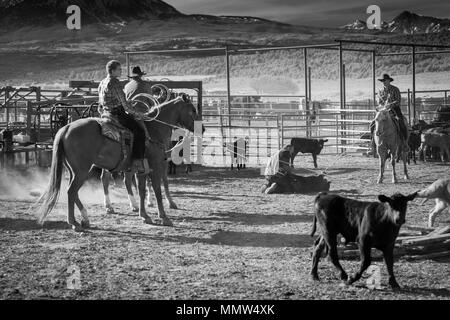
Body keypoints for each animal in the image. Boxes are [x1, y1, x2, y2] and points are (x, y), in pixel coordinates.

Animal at [33, 95, 197, 230]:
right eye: (193, 111)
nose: (201, 128)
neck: (153, 130)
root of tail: (66, 128)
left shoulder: (143, 170)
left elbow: (142, 191)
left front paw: (144, 215)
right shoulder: (156, 166)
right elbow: (157, 190)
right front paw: (164, 217)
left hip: (74, 170)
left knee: (74, 191)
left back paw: (85, 218)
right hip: (82, 170)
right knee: (72, 191)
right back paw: (74, 222)